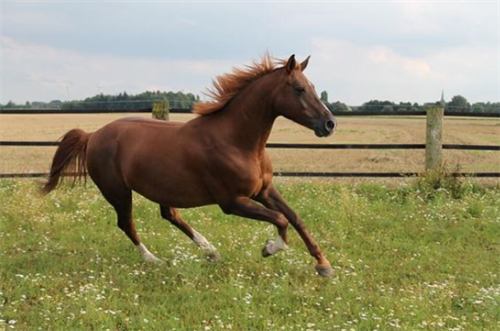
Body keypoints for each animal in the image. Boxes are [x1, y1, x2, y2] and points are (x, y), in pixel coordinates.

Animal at [43, 55, 338, 278]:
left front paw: (324, 265)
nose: (329, 124)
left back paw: (210, 251)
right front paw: (269, 248)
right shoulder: (232, 202)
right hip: (117, 191)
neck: (237, 141)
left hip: (161, 188)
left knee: (170, 215)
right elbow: (280, 219)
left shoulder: (264, 190)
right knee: (127, 223)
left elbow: (294, 217)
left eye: (312, 86)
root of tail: (93, 135)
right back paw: (155, 260)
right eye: (299, 88)